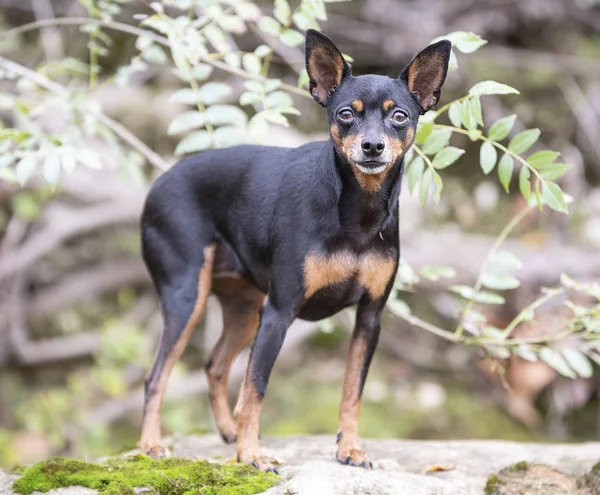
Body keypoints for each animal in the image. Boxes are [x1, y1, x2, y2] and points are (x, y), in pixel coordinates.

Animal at [139, 30, 450, 472]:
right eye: (345, 114)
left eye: (400, 117)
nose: (372, 146)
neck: (357, 210)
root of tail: (157, 184)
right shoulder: (279, 312)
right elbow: (255, 388)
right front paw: (251, 455)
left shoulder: (369, 318)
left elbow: (352, 391)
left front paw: (348, 448)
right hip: (187, 298)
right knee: (157, 376)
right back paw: (152, 444)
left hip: (244, 306)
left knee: (215, 365)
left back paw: (227, 433)